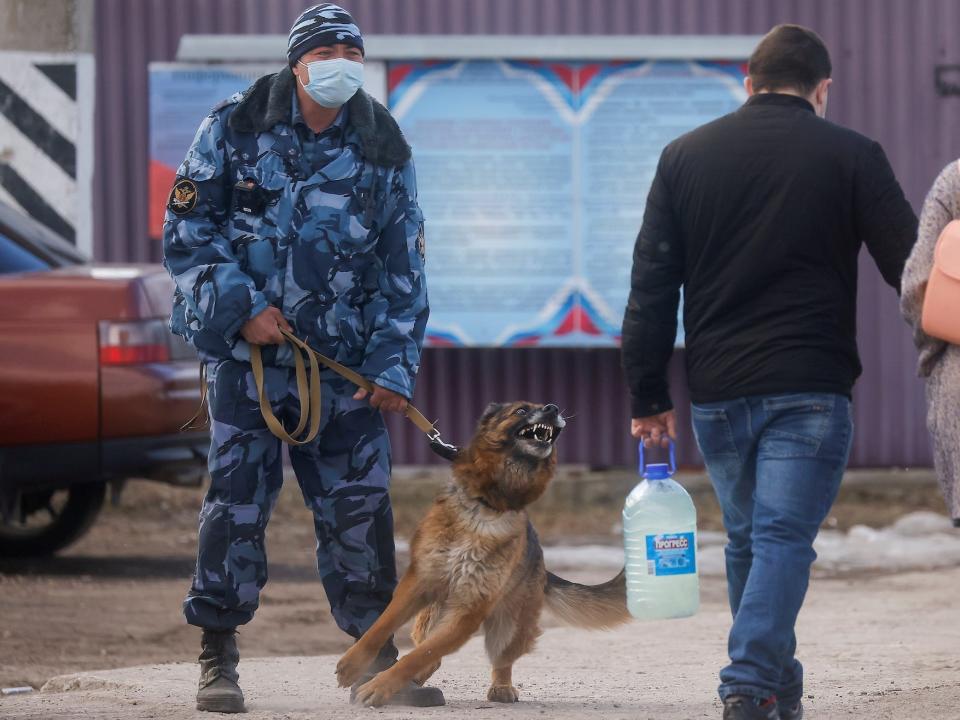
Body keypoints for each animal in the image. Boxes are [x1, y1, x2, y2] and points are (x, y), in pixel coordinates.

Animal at [338, 402, 632, 704]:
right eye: (521, 410)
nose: (553, 408)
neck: (487, 505)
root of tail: (541, 564)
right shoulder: (416, 585)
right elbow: (380, 627)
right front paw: (353, 665)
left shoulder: (467, 611)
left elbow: (419, 655)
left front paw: (379, 686)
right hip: (432, 616)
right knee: (431, 655)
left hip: (508, 628)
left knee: (496, 658)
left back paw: (499, 686)